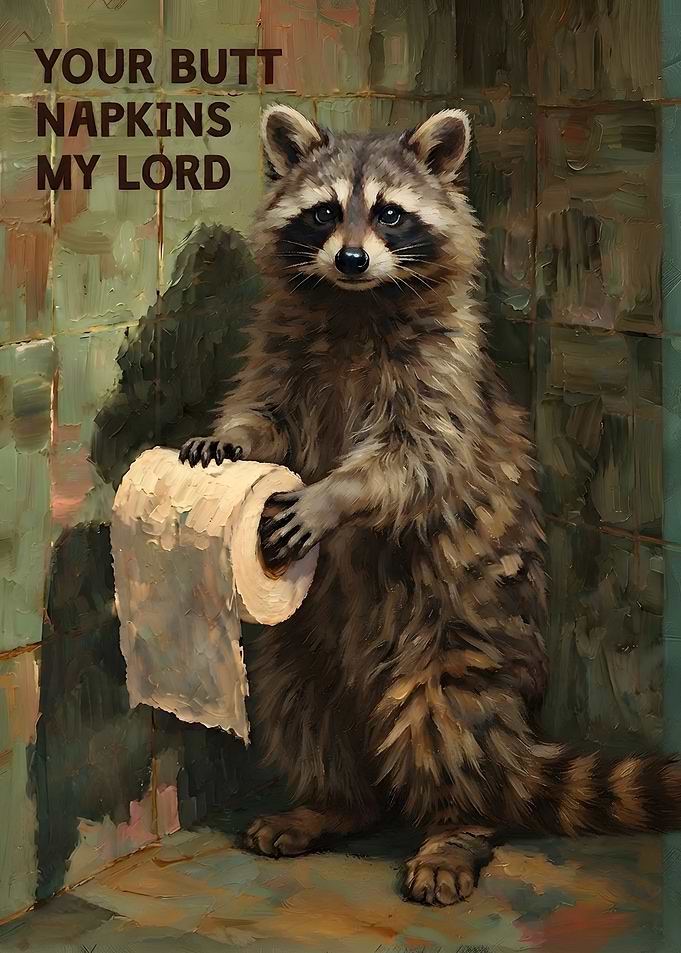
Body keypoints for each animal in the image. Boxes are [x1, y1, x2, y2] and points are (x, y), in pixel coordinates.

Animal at [180, 105, 681, 905]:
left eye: (389, 213)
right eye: (324, 212)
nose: (352, 259)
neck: (354, 304)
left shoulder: (443, 371)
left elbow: (413, 461)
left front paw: (332, 496)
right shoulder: (280, 349)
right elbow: (267, 414)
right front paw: (231, 437)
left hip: (455, 640)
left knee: (447, 724)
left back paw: (456, 828)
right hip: (303, 640)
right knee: (300, 701)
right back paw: (333, 801)